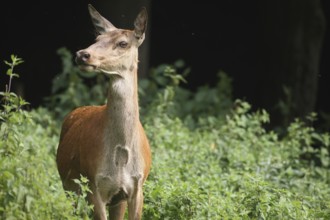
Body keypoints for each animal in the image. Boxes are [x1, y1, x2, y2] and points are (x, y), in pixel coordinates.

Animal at [56, 3, 152, 220]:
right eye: (97, 39)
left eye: (123, 43)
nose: (82, 54)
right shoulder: (94, 185)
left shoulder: (136, 187)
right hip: (69, 187)